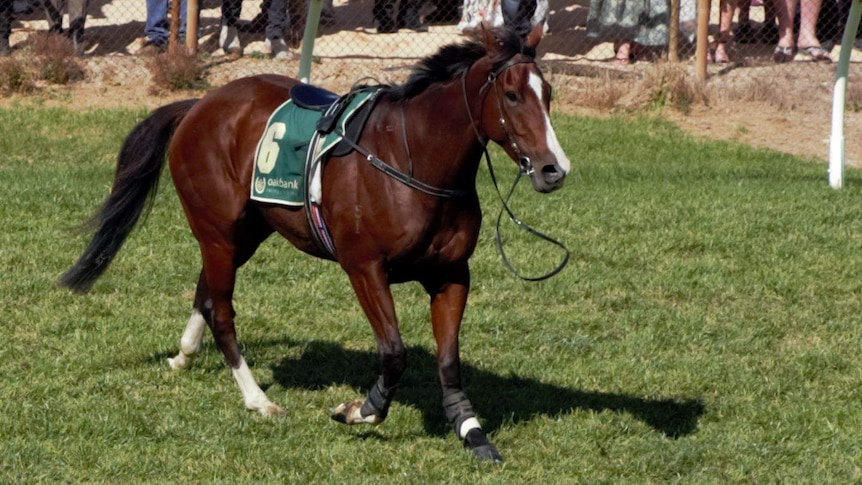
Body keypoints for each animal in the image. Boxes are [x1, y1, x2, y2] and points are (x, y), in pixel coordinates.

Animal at [62, 25, 572, 462]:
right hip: (218, 233)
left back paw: (184, 356)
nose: (554, 169)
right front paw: (361, 409)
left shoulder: (450, 275)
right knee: (221, 311)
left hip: (245, 233)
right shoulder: (365, 268)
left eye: (548, 94)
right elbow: (394, 353)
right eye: (512, 95)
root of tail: (199, 104)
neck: (413, 158)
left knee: (205, 294)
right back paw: (257, 399)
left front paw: (472, 432)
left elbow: (448, 361)